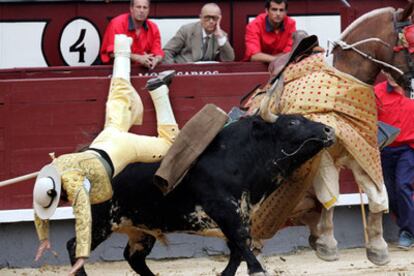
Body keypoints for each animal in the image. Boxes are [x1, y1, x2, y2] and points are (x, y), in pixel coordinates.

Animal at [67, 113, 334, 274]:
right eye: (292, 123)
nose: (328, 130)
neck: (239, 156)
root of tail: (87, 155)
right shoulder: (226, 212)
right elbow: (243, 246)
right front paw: (258, 269)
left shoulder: (241, 216)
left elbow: (237, 252)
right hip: (99, 220)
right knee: (75, 247)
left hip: (140, 227)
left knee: (134, 257)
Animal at [247, 1, 414, 266]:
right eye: (410, 40)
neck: (347, 77)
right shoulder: (324, 155)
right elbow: (330, 192)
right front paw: (328, 244)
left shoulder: (363, 149)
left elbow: (377, 194)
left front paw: (378, 248)